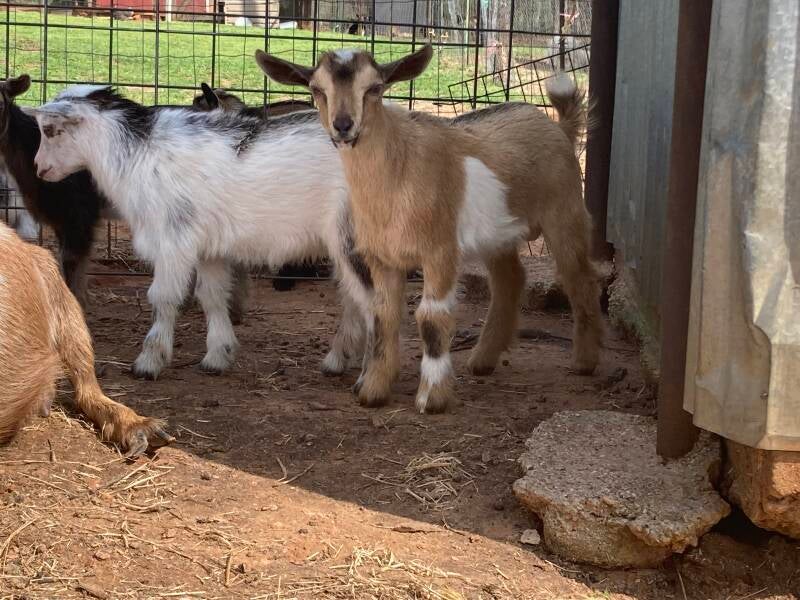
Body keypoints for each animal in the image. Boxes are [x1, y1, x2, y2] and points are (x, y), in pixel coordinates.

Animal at [31, 85, 372, 380]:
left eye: (50, 130)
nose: (39, 168)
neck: (139, 153)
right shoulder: (210, 248)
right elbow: (212, 296)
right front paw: (218, 356)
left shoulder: (172, 240)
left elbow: (164, 297)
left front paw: (149, 362)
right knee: (354, 298)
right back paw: (337, 361)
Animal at [256, 45, 603, 413]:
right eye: (317, 89)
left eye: (375, 88)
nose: (343, 125)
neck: (399, 170)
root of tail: (559, 127)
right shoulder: (381, 257)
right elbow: (382, 314)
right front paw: (374, 391)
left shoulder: (440, 252)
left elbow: (431, 318)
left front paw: (432, 397)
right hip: (499, 234)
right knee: (509, 279)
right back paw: (483, 359)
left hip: (564, 211)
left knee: (579, 277)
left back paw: (584, 361)